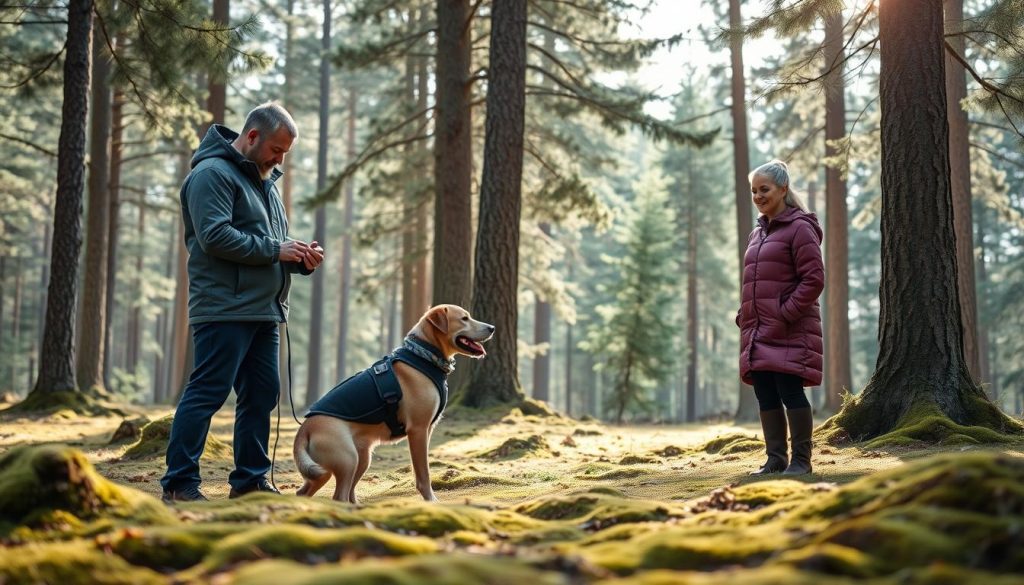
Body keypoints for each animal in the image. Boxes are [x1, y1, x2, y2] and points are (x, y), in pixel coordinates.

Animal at [292, 305, 491, 502]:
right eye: (464, 318)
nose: (492, 328)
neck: (423, 355)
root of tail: (304, 429)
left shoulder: (427, 430)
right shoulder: (418, 430)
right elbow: (423, 474)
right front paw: (431, 501)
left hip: (347, 464)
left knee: (310, 492)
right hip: (348, 460)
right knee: (339, 496)